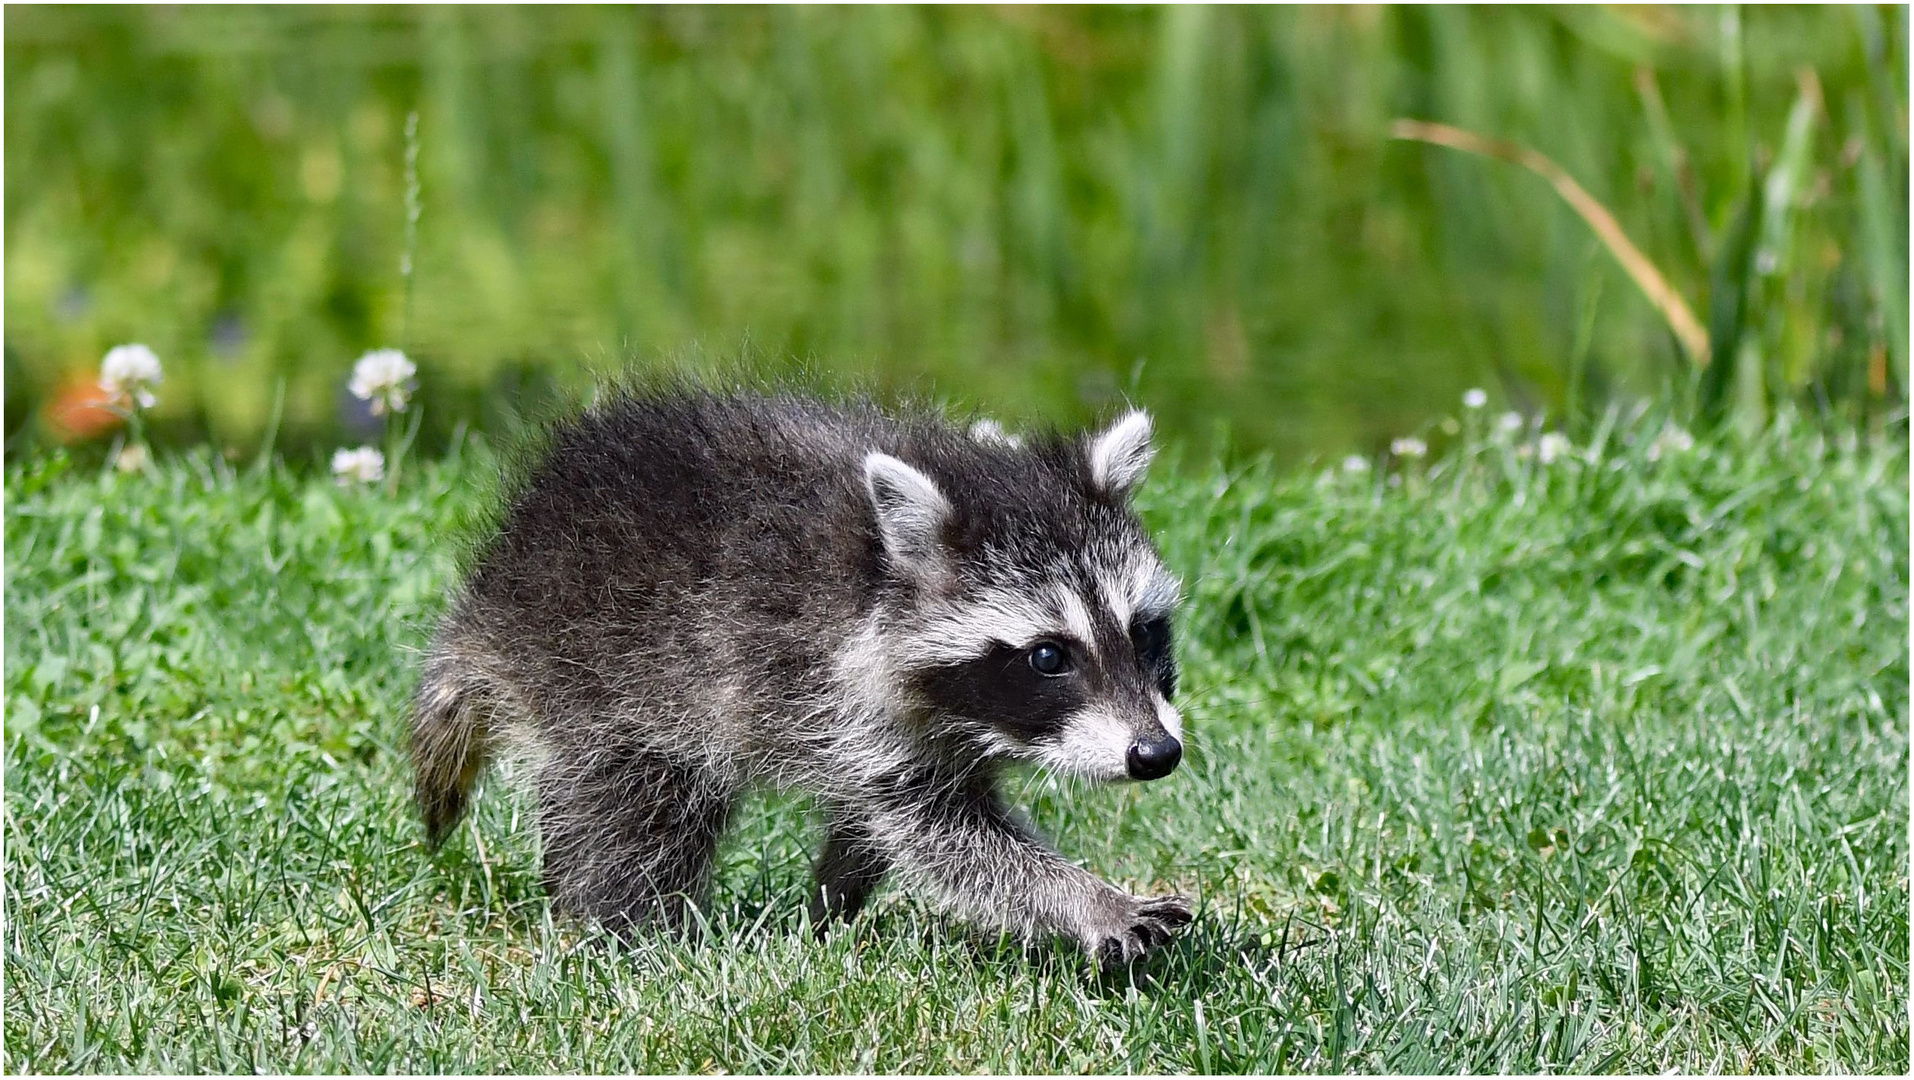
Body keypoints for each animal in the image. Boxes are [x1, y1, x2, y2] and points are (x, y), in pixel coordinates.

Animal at [415, 390, 1194, 968]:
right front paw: (1085, 900)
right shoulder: (840, 691)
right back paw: (636, 930)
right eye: (1048, 657)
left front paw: (829, 911)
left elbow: (879, 824)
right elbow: (951, 840)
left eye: (1142, 631)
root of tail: (494, 581)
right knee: (635, 810)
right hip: (608, 672)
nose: (1155, 753)